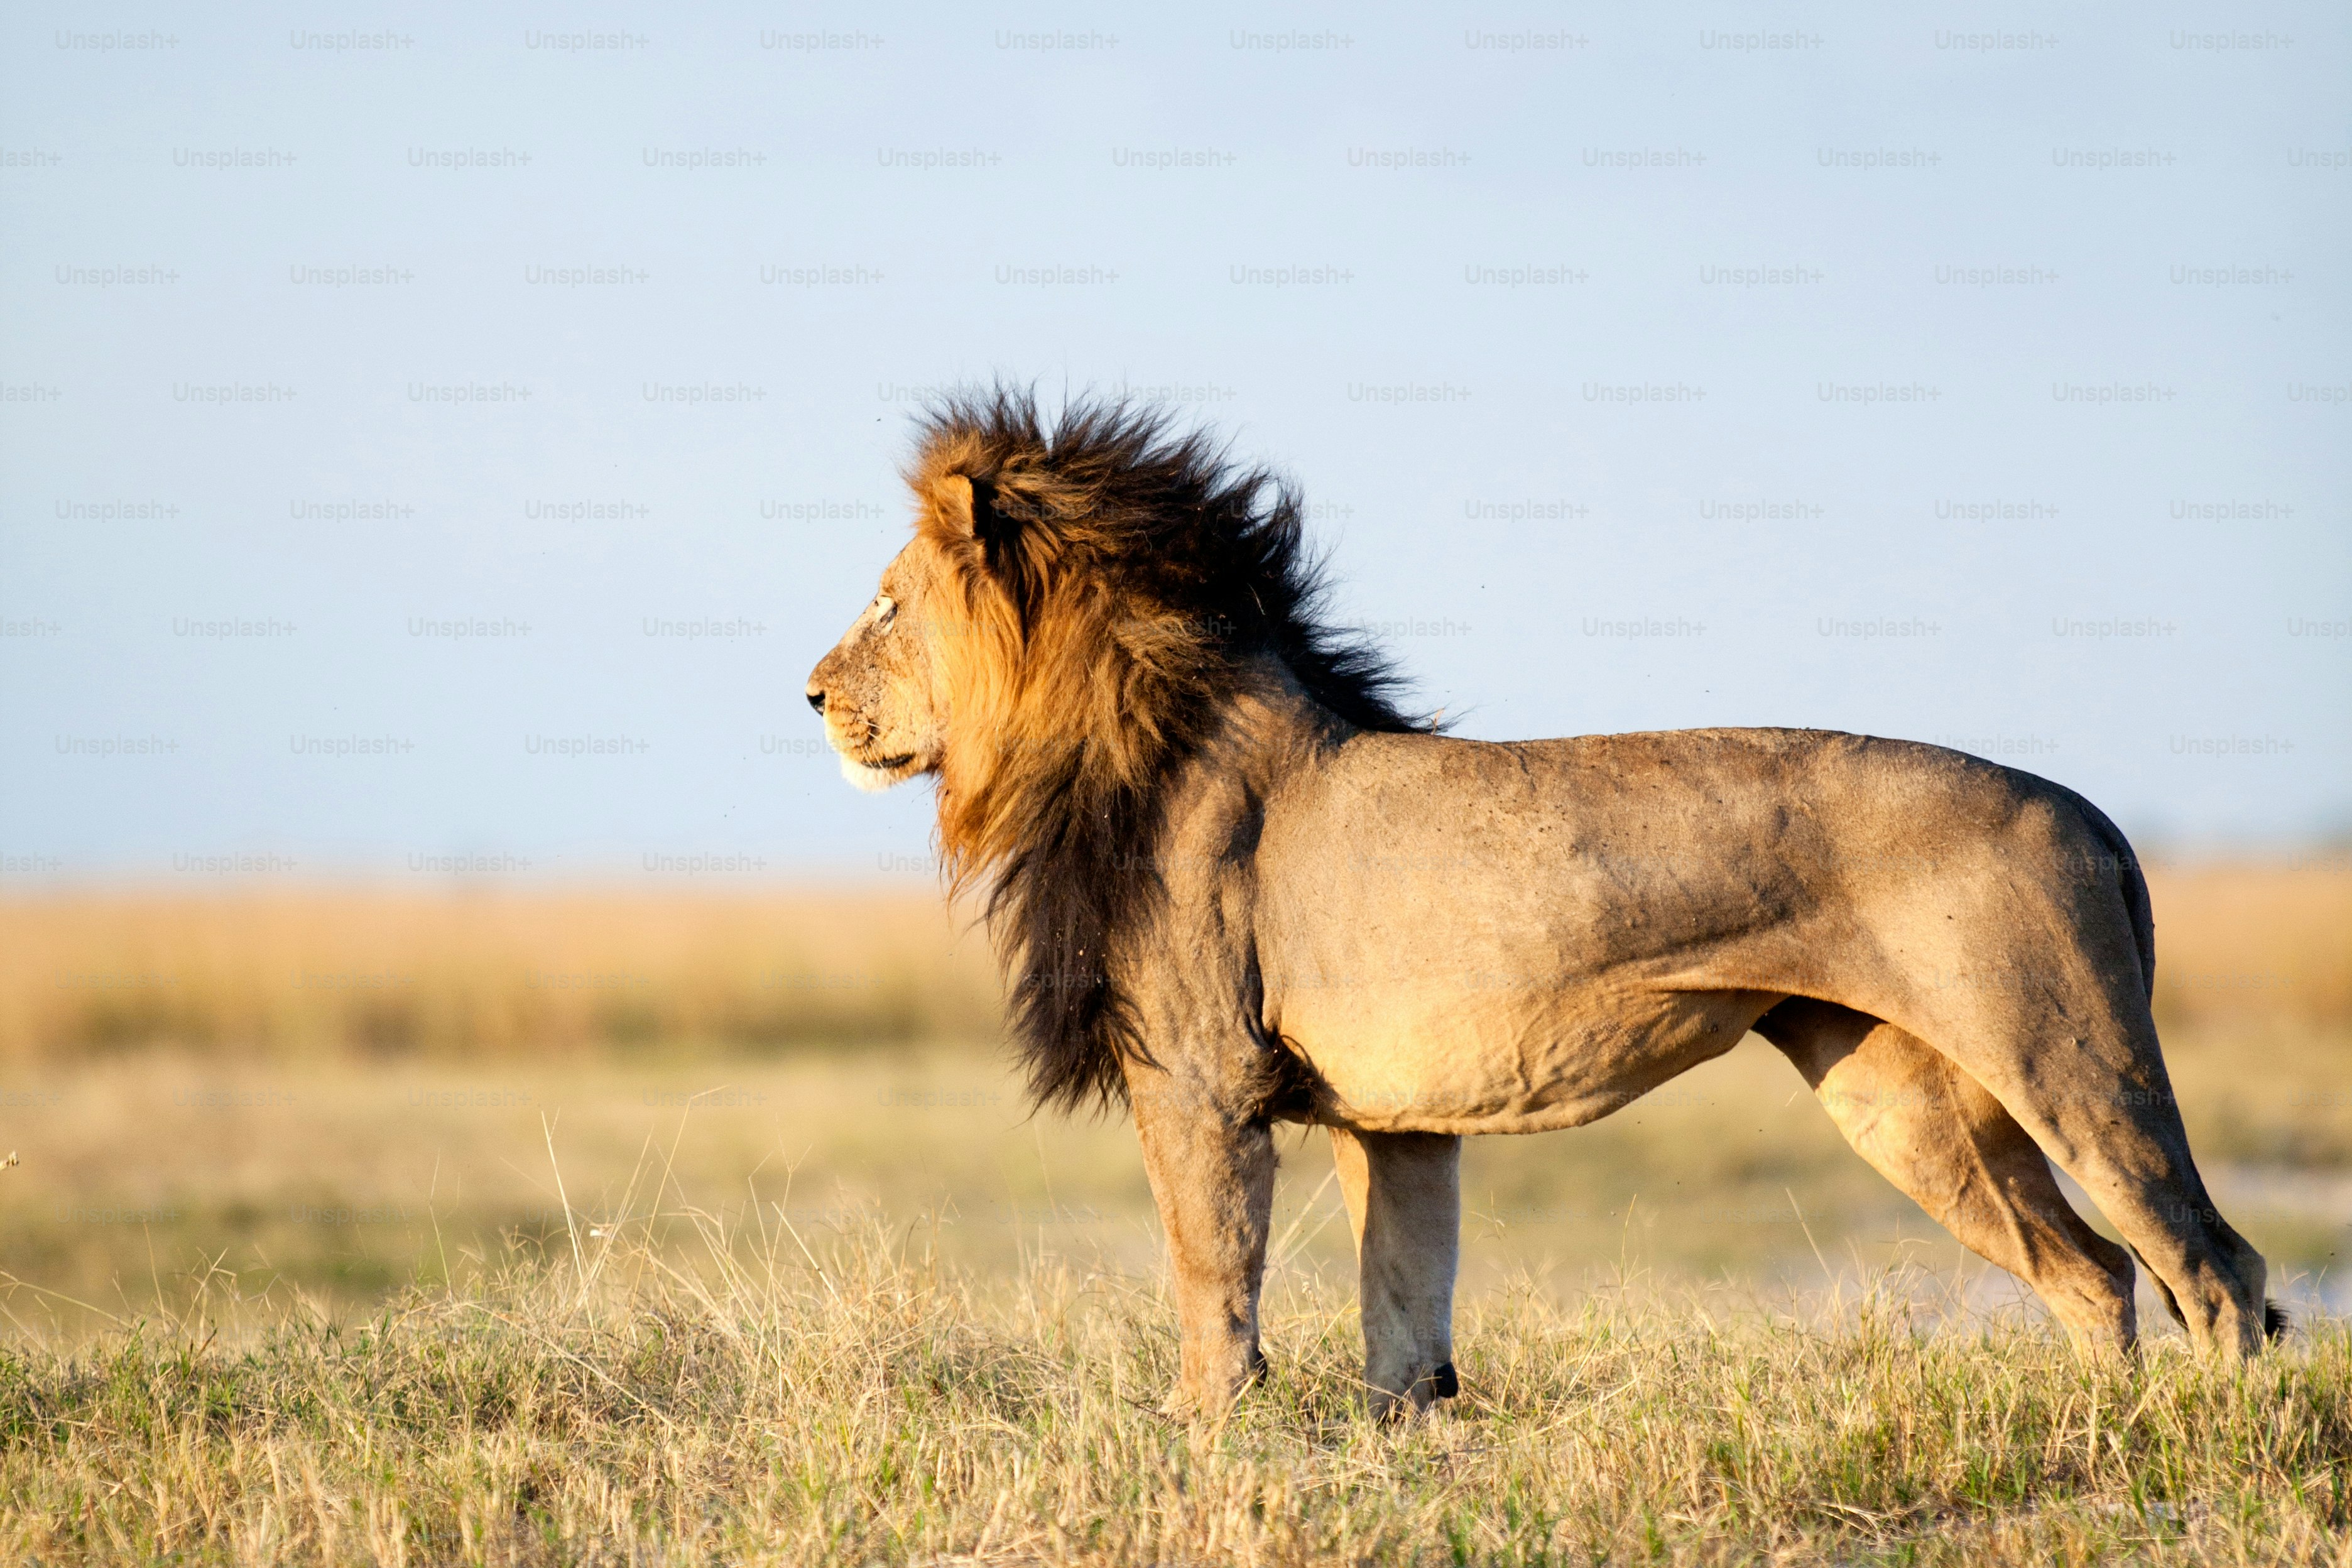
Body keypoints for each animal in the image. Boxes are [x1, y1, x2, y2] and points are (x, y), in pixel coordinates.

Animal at [808, 390, 2277, 1420]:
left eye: (884, 605)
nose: (810, 692)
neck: (1128, 734)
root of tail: (2092, 814)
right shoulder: (1394, 1121)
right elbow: (1404, 1322)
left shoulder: (1199, 1080)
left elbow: (1211, 1288)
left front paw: (1199, 1442)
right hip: (1904, 1099)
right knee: (2095, 1272)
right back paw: (2094, 1436)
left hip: (2066, 1058)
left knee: (2215, 1267)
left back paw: (2200, 1449)